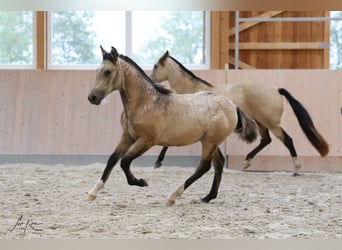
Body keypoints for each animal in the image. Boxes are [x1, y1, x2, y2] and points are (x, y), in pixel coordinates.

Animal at [85, 46, 256, 205]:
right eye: (97, 70)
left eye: (107, 71)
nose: (92, 97)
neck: (145, 102)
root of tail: (233, 105)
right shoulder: (128, 136)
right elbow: (112, 159)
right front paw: (93, 192)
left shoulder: (147, 140)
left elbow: (125, 161)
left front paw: (140, 182)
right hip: (209, 141)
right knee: (218, 163)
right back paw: (207, 197)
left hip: (210, 141)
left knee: (204, 166)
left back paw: (173, 196)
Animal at [150, 50, 328, 176]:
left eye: (155, 66)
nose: (150, 80)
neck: (194, 91)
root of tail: (276, 89)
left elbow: (167, 142)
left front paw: (158, 162)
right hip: (261, 121)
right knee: (266, 140)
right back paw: (246, 162)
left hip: (272, 123)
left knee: (287, 140)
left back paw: (297, 170)